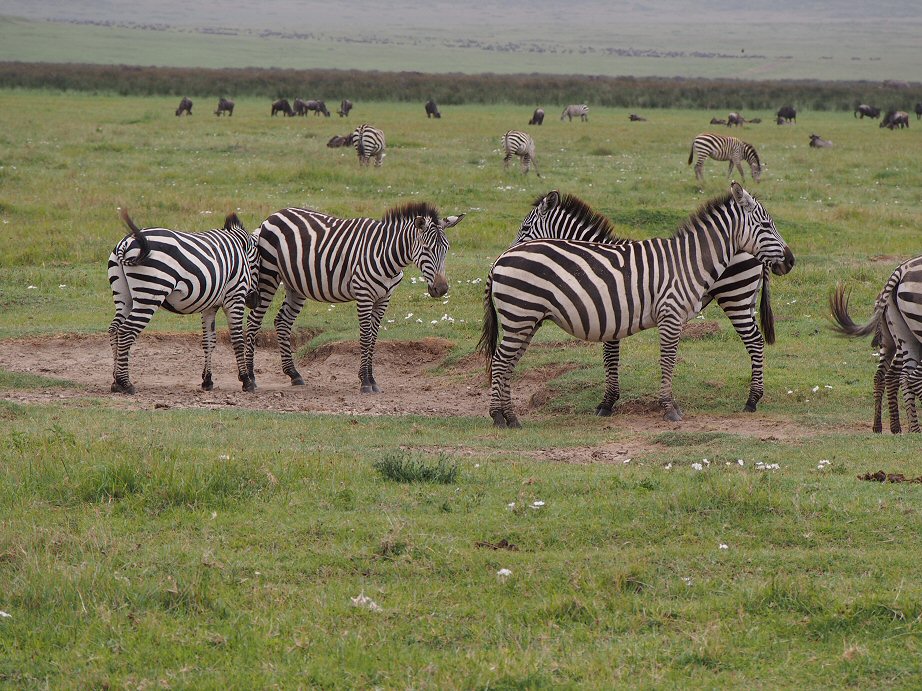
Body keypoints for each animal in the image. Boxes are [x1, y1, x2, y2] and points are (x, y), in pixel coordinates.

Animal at [108, 209, 258, 394]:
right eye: (260, 264)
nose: (254, 301)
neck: (241, 250)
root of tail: (126, 242)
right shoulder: (235, 296)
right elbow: (237, 340)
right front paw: (246, 380)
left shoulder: (210, 306)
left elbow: (209, 341)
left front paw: (207, 381)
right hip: (150, 295)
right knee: (125, 331)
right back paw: (125, 382)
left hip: (123, 297)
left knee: (115, 329)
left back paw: (116, 381)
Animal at [244, 203, 464, 394]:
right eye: (426, 248)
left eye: (447, 249)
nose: (441, 289)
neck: (387, 254)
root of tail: (272, 216)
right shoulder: (364, 295)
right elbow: (365, 337)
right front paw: (365, 382)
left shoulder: (384, 299)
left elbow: (374, 339)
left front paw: (371, 379)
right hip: (268, 276)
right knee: (253, 321)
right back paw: (250, 377)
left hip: (295, 284)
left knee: (282, 321)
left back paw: (293, 374)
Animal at [478, 182, 796, 428]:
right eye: (766, 225)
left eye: (525, 226)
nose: (791, 261)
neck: (689, 260)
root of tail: (498, 263)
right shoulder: (662, 315)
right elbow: (661, 360)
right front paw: (666, 408)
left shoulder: (627, 317)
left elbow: (636, 360)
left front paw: (614, 404)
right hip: (521, 316)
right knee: (502, 361)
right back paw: (500, 417)